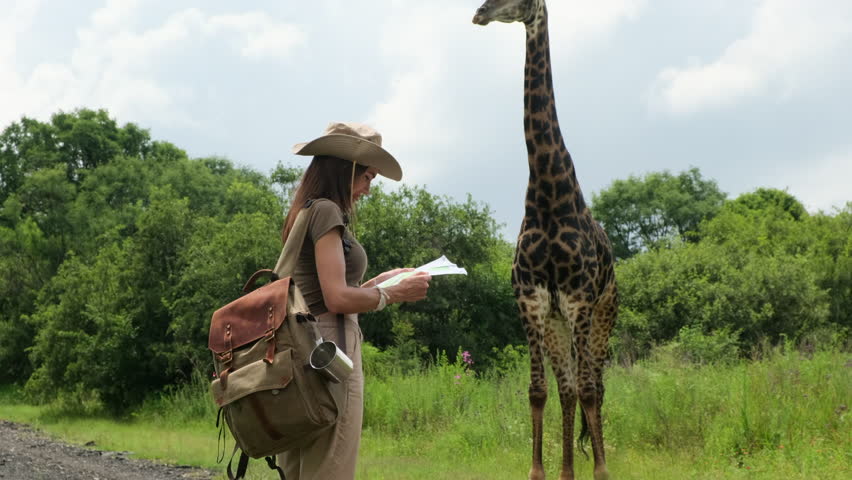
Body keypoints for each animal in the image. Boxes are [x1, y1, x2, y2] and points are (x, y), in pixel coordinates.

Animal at [473, 1, 617, 480]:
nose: (479, 13)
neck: (549, 193)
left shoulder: (578, 299)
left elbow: (589, 389)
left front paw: (601, 471)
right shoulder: (532, 300)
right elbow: (539, 390)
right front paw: (539, 471)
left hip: (602, 315)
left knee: (595, 385)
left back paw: (591, 463)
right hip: (557, 323)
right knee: (567, 386)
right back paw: (566, 470)